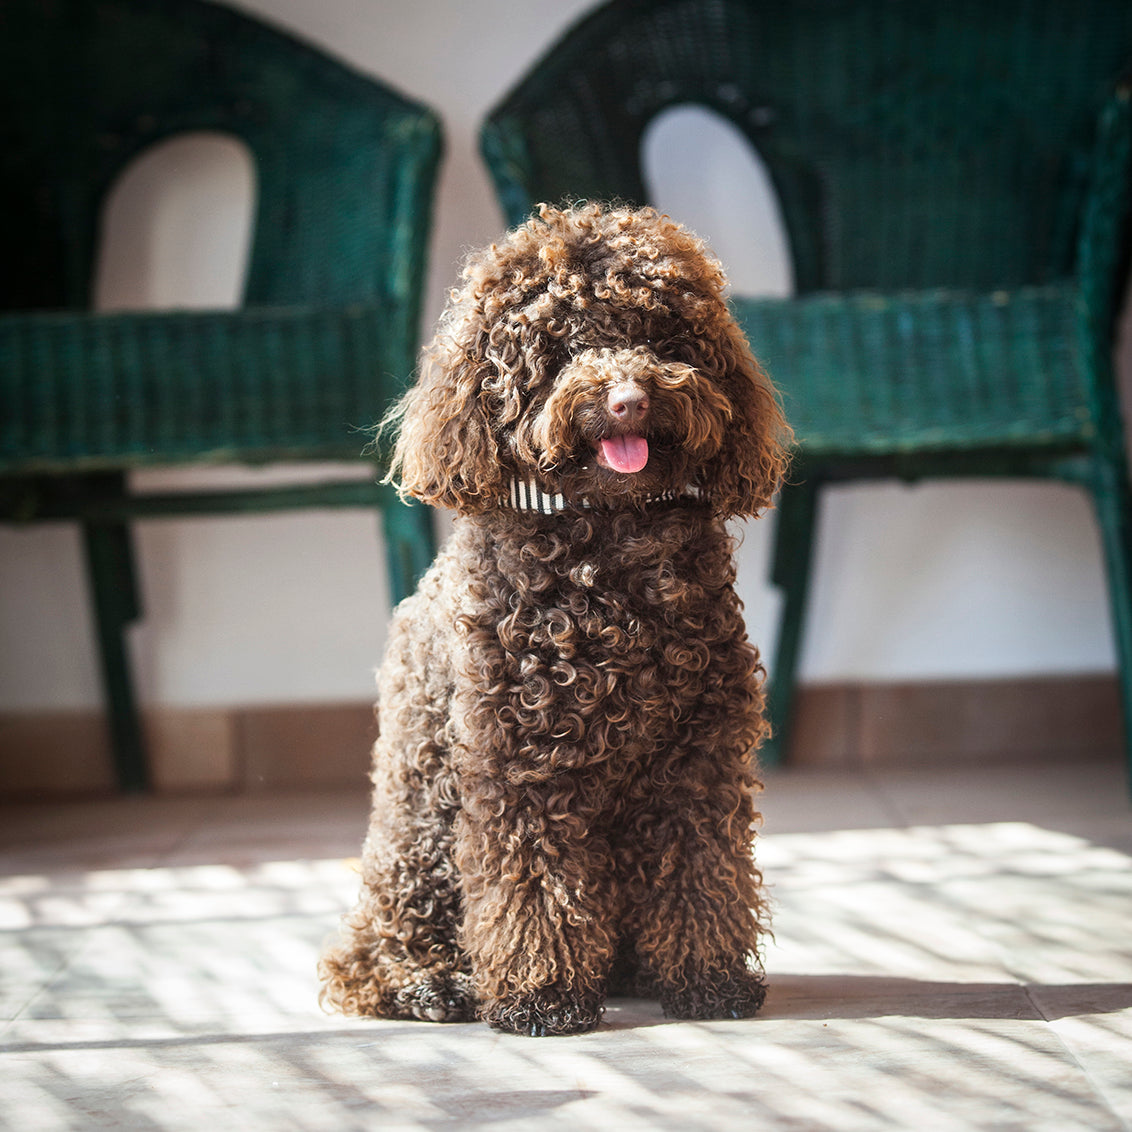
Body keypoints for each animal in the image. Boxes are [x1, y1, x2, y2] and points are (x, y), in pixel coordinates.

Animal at [314, 201, 792, 1036]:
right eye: (561, 344)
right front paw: (541, 996)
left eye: (663, 336)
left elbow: (702, 872)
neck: (606, 537)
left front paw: (707, 980)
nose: (630, 398)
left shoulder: (697, 760)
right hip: (422, 832)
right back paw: (429, 984)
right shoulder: (521, 766)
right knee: (379, 951)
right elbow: (534, 886)